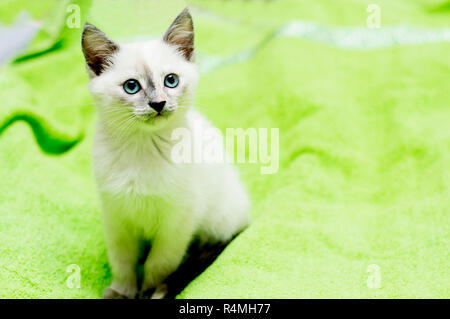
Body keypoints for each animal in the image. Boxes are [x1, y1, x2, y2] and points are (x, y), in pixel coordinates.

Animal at [81, 8, 250, 300]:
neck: (143, 147)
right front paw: (122, 292)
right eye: (132, 87)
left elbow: (158, 265)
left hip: (216, 224)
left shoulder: (176, 224)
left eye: (171, 81)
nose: (158, 103)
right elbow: (123, 263)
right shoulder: (117, 219)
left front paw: (149, 293)